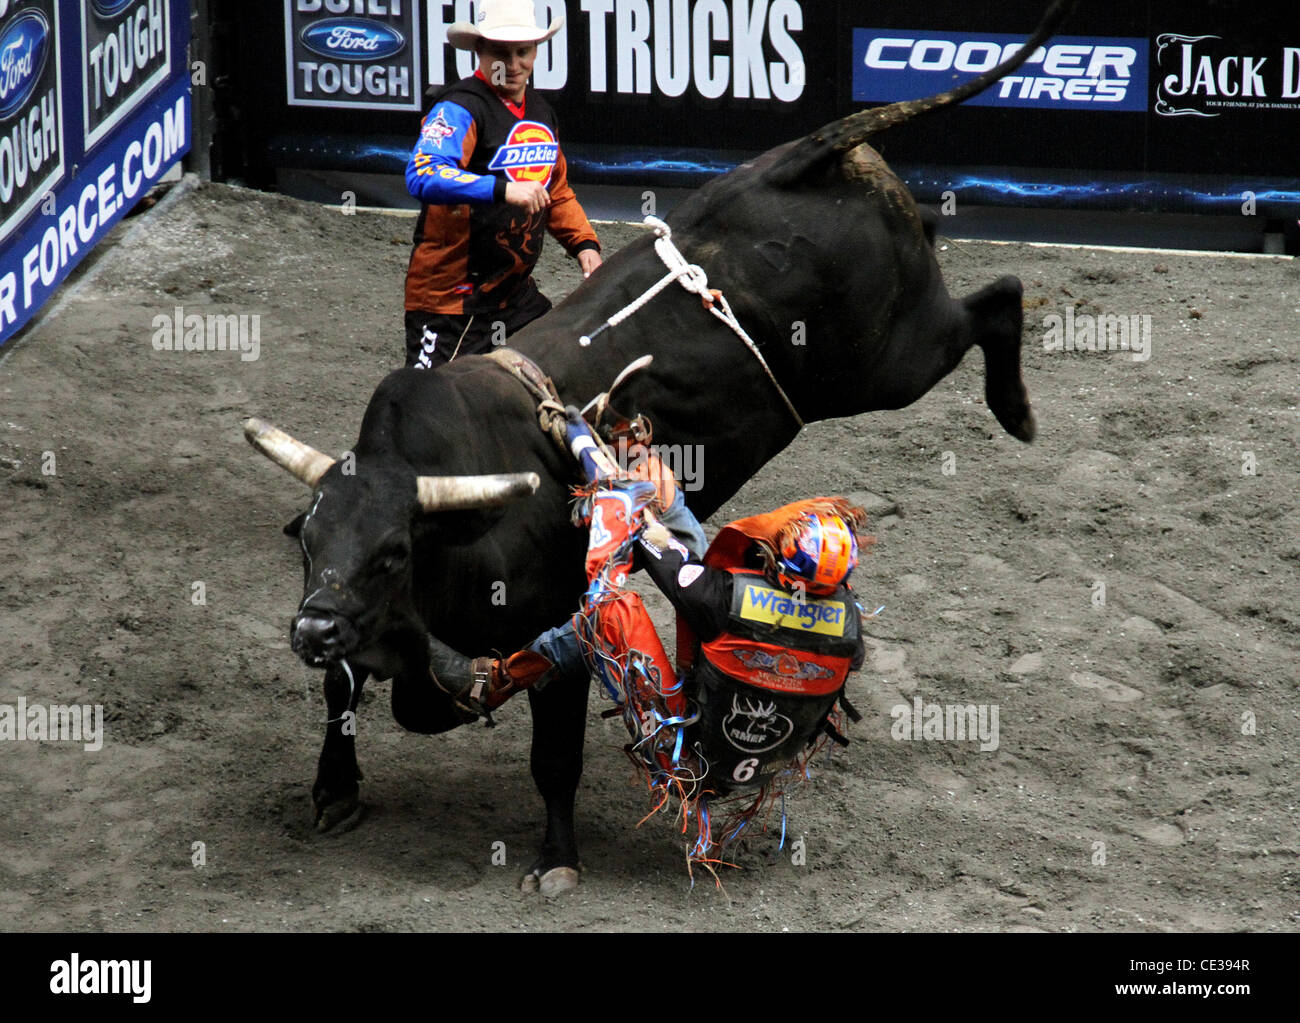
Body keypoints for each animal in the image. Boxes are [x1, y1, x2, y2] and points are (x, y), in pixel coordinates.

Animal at [248, 4, 1071, 894]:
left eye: (394, 551)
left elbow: (546, 751)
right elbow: (351, 691)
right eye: (310, 538)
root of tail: (806, 152)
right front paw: (335, 787)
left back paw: (1016, 411)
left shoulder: (562, 632)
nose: (312, 629)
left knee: (997, 298)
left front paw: (557, 859)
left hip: (893, 357)